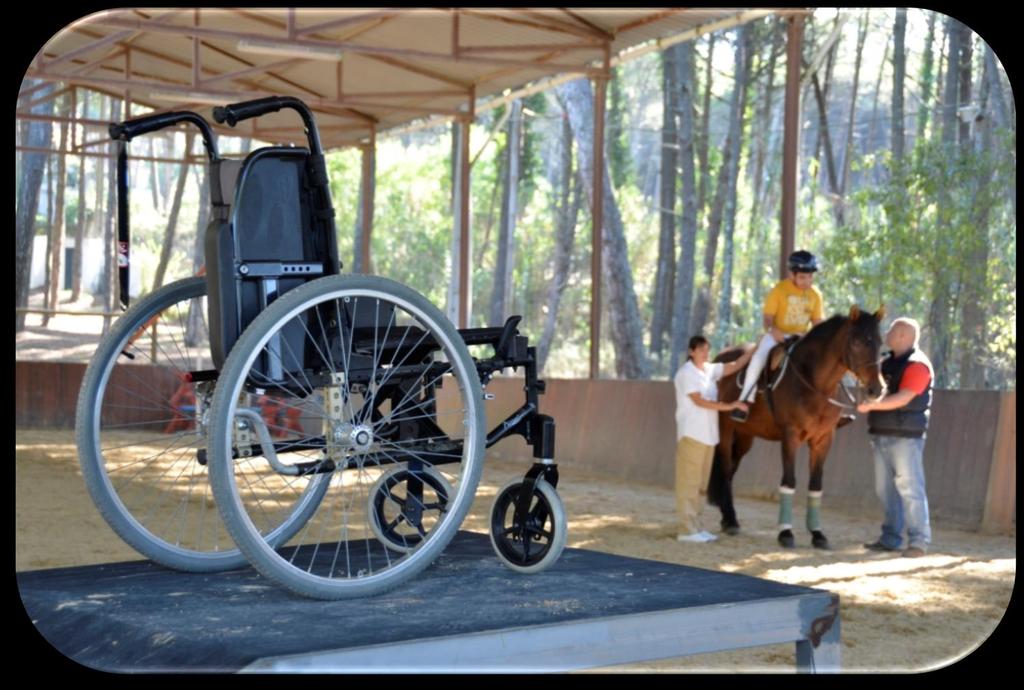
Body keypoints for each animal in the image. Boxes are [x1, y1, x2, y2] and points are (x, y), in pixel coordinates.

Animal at [708, 307, 884, 548]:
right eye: (857, 342)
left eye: (880, 343)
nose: (876, 389)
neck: (814, 382)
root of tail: (720, 357)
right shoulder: (790, 436)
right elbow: (789, 481)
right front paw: (786, 533)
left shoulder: (823, 439)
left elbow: (816, 484)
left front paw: (818, 534)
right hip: (725, 428)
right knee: (726, 468)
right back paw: (731, 520)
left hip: (745, 436)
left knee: (732, 469)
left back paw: (727, 518)